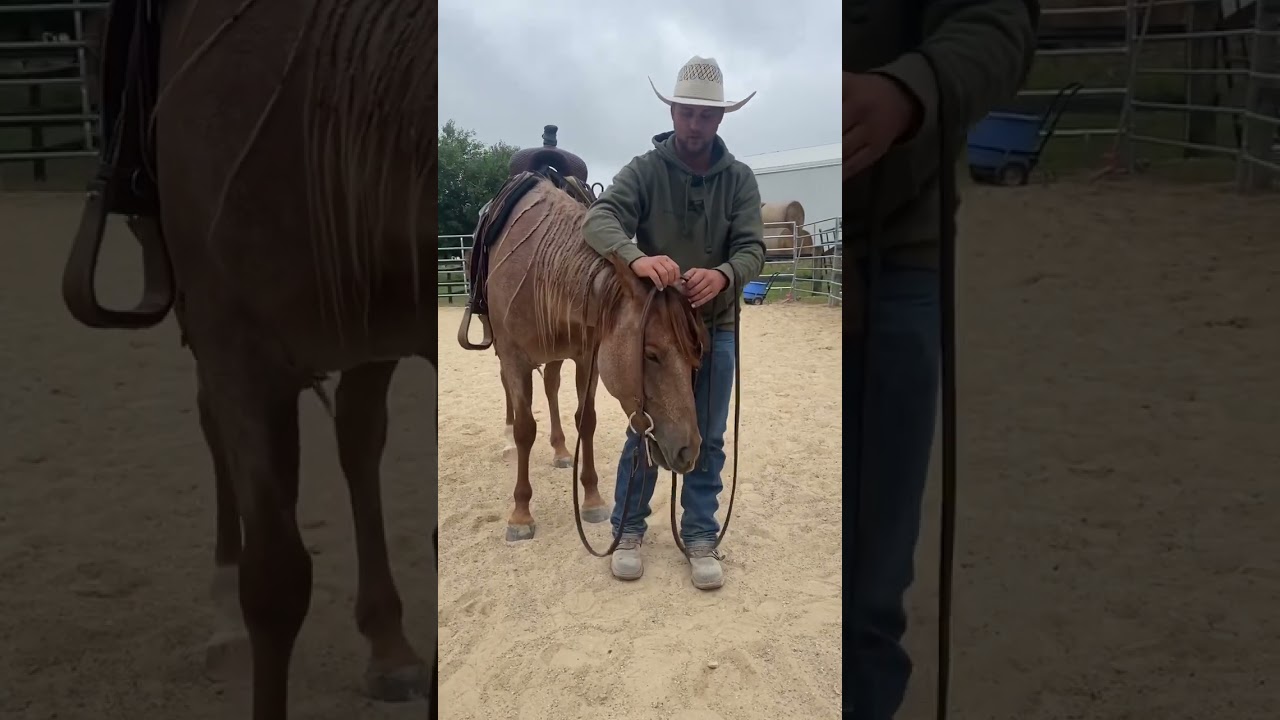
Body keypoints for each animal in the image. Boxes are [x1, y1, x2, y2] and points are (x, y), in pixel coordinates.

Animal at [60, 2, 436, 718]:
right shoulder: (240, 350)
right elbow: (275, 583)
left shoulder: (394, 331)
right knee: (215, 427)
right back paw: (226, 625)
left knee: (356, 439)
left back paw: (388, 645)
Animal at [458, 171, 708, 543]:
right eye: (650, 354)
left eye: (694, 355)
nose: (688, 450)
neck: (541, 264)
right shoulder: (515, 357)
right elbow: (525, 429)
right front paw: (520, 514)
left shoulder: (587, 357)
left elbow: (585, 420)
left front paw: (591, 498)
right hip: (502, 351)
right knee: (510, 392)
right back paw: (508, 440)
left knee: (550, 385)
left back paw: (561, 450)